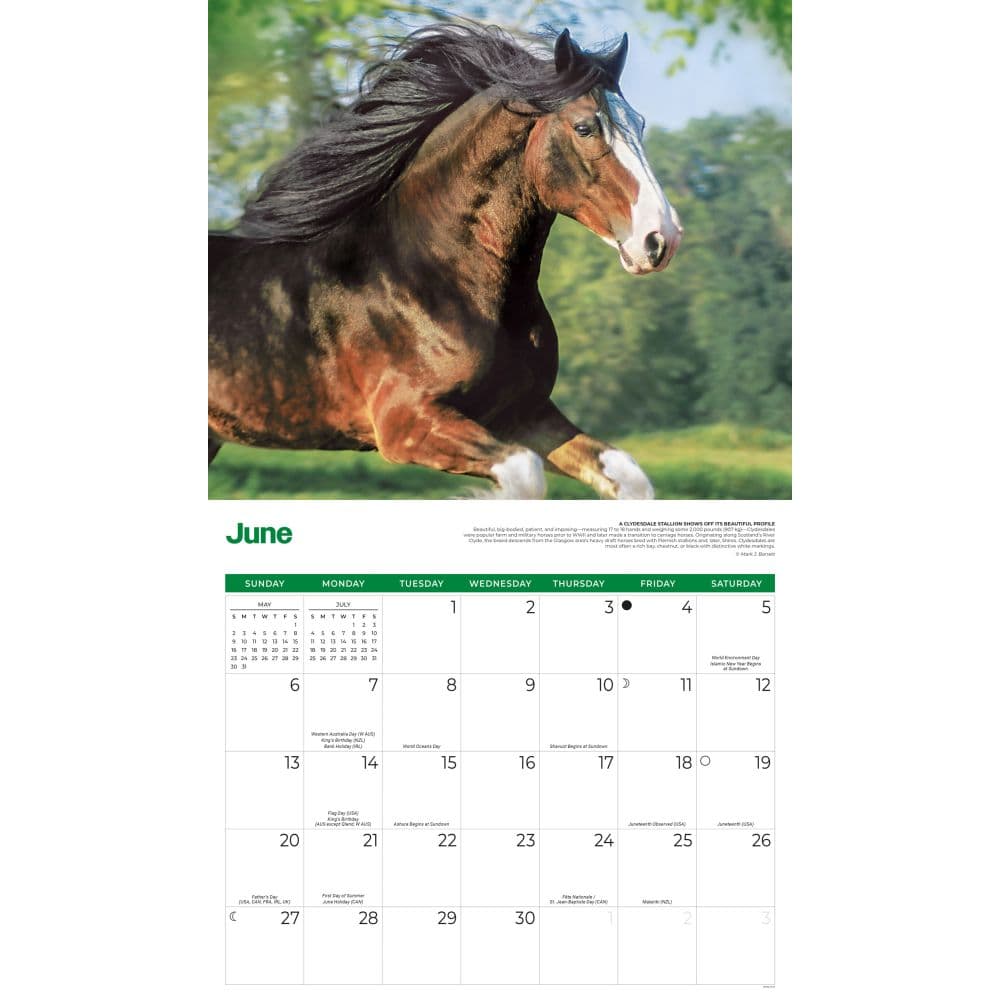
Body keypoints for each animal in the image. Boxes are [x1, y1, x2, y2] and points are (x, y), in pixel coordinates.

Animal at [209, 22, 683, 498]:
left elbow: (627, 474)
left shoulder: (523, 413)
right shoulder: (405, 424)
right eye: (585, 127)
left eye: (639, 123)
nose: (660, 239)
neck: (432, 279)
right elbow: (523, 475)